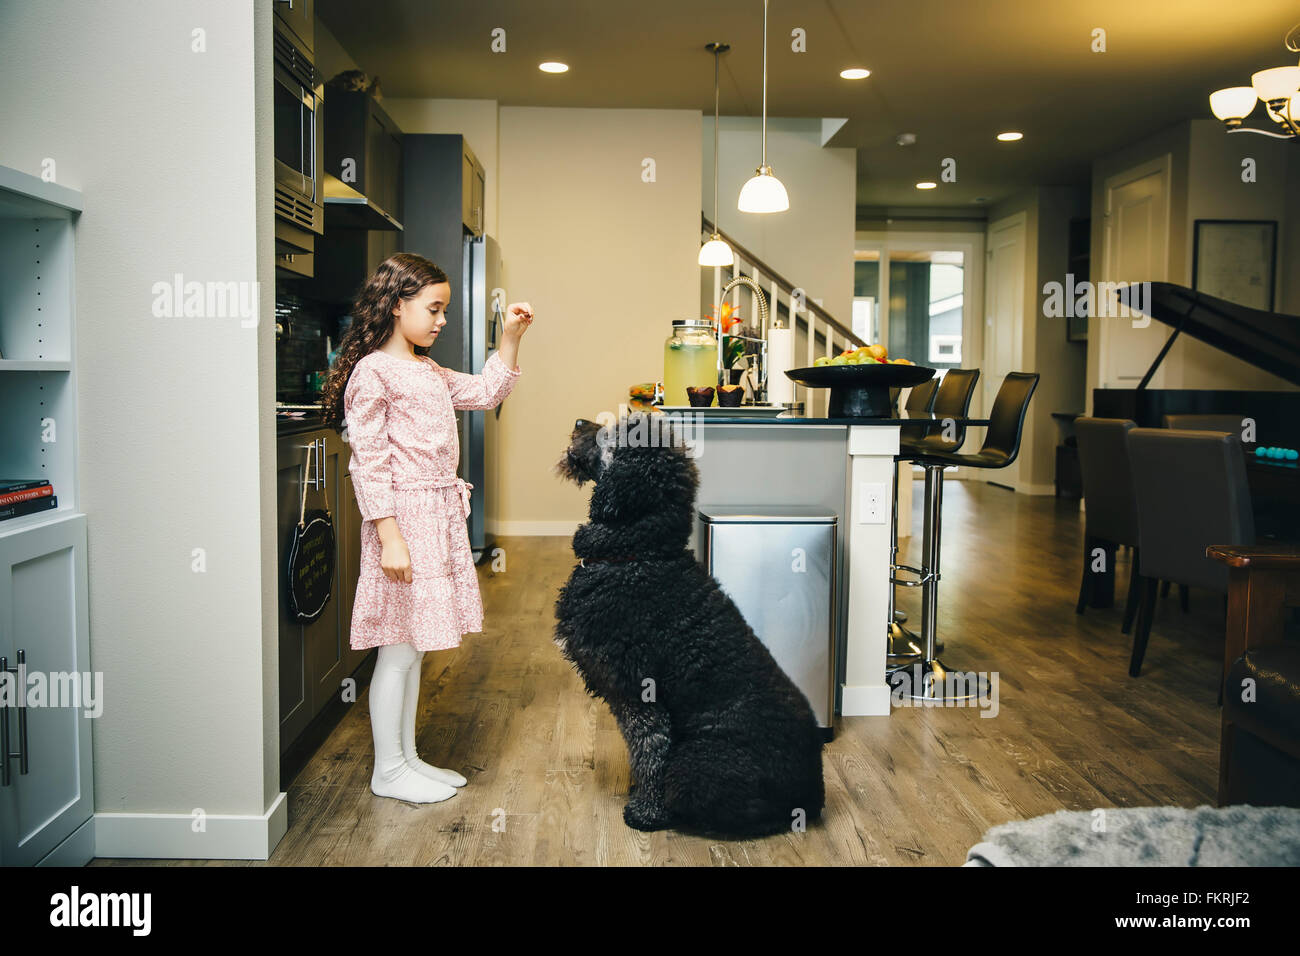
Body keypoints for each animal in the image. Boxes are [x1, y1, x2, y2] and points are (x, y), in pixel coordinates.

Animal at [553, 411, 826, 837]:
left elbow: (650, 750)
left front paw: (647, 812)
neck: (638, 555)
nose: (579, 421)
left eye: (612, 436)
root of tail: (814, 792)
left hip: (695, 765)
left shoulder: (640, 695)